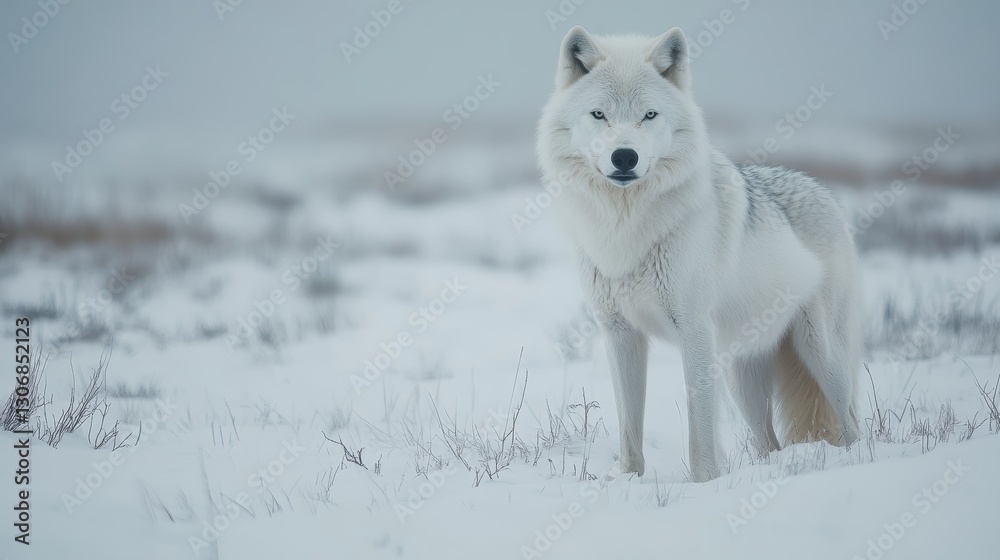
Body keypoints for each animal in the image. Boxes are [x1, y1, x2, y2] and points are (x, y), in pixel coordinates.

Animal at [536, 26, 862, 482]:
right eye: (599, 115)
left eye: (649, 115)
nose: (625, 157)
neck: (625, 227)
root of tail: (824, 192)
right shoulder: (619, 333)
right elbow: (629, 430)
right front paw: (629, 482)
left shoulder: (693, 330)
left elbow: (700, 430)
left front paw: (704, 484)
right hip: (743, 381)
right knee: (770, 444)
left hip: (823, 356)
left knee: (852, 426)